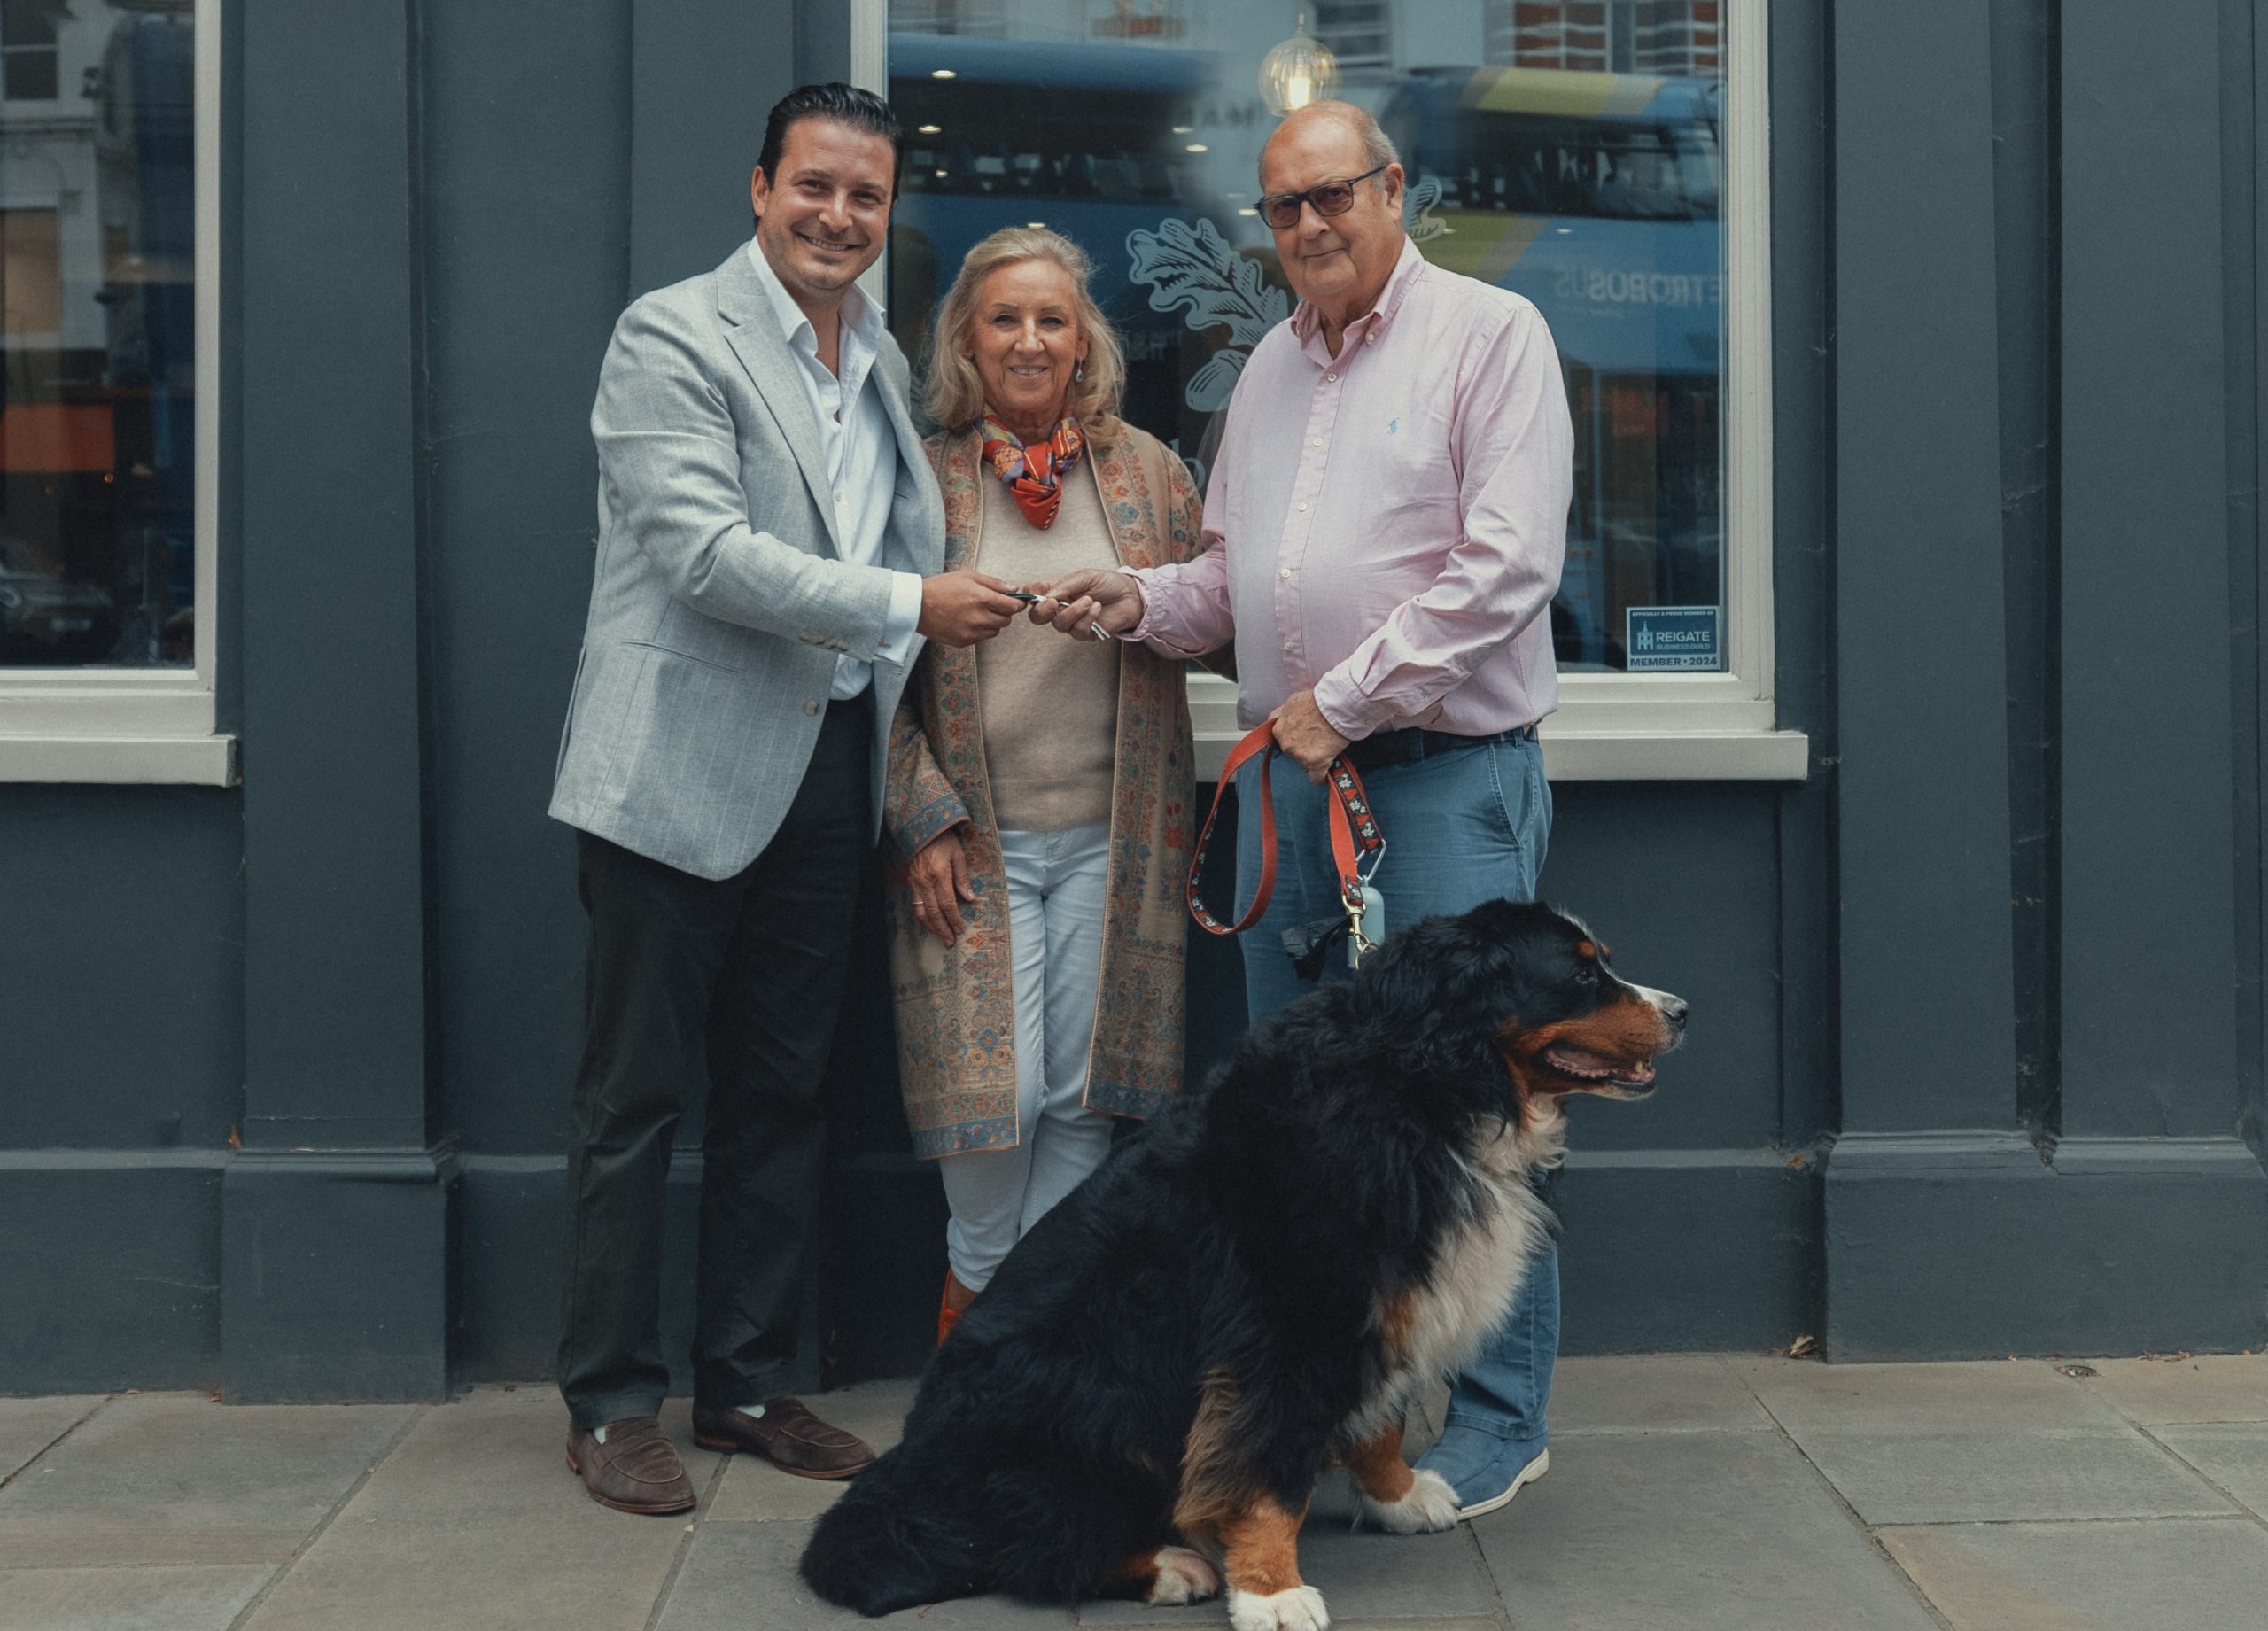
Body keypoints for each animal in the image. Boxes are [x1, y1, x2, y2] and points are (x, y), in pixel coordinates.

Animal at [801, 898, 1686, 1630]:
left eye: (1600, 962)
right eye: (1580, 974)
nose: (1681, 1010)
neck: (1425, 1089)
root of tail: (903, 1469)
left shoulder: (1377, 1306)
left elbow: (1381, 1419)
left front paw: (1397, 1497)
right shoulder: (1292, 1322)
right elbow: (1264, 1470)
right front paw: (1271, 1590)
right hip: (1084, 1400)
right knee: (1030, 1545)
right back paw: (1173, 1564)